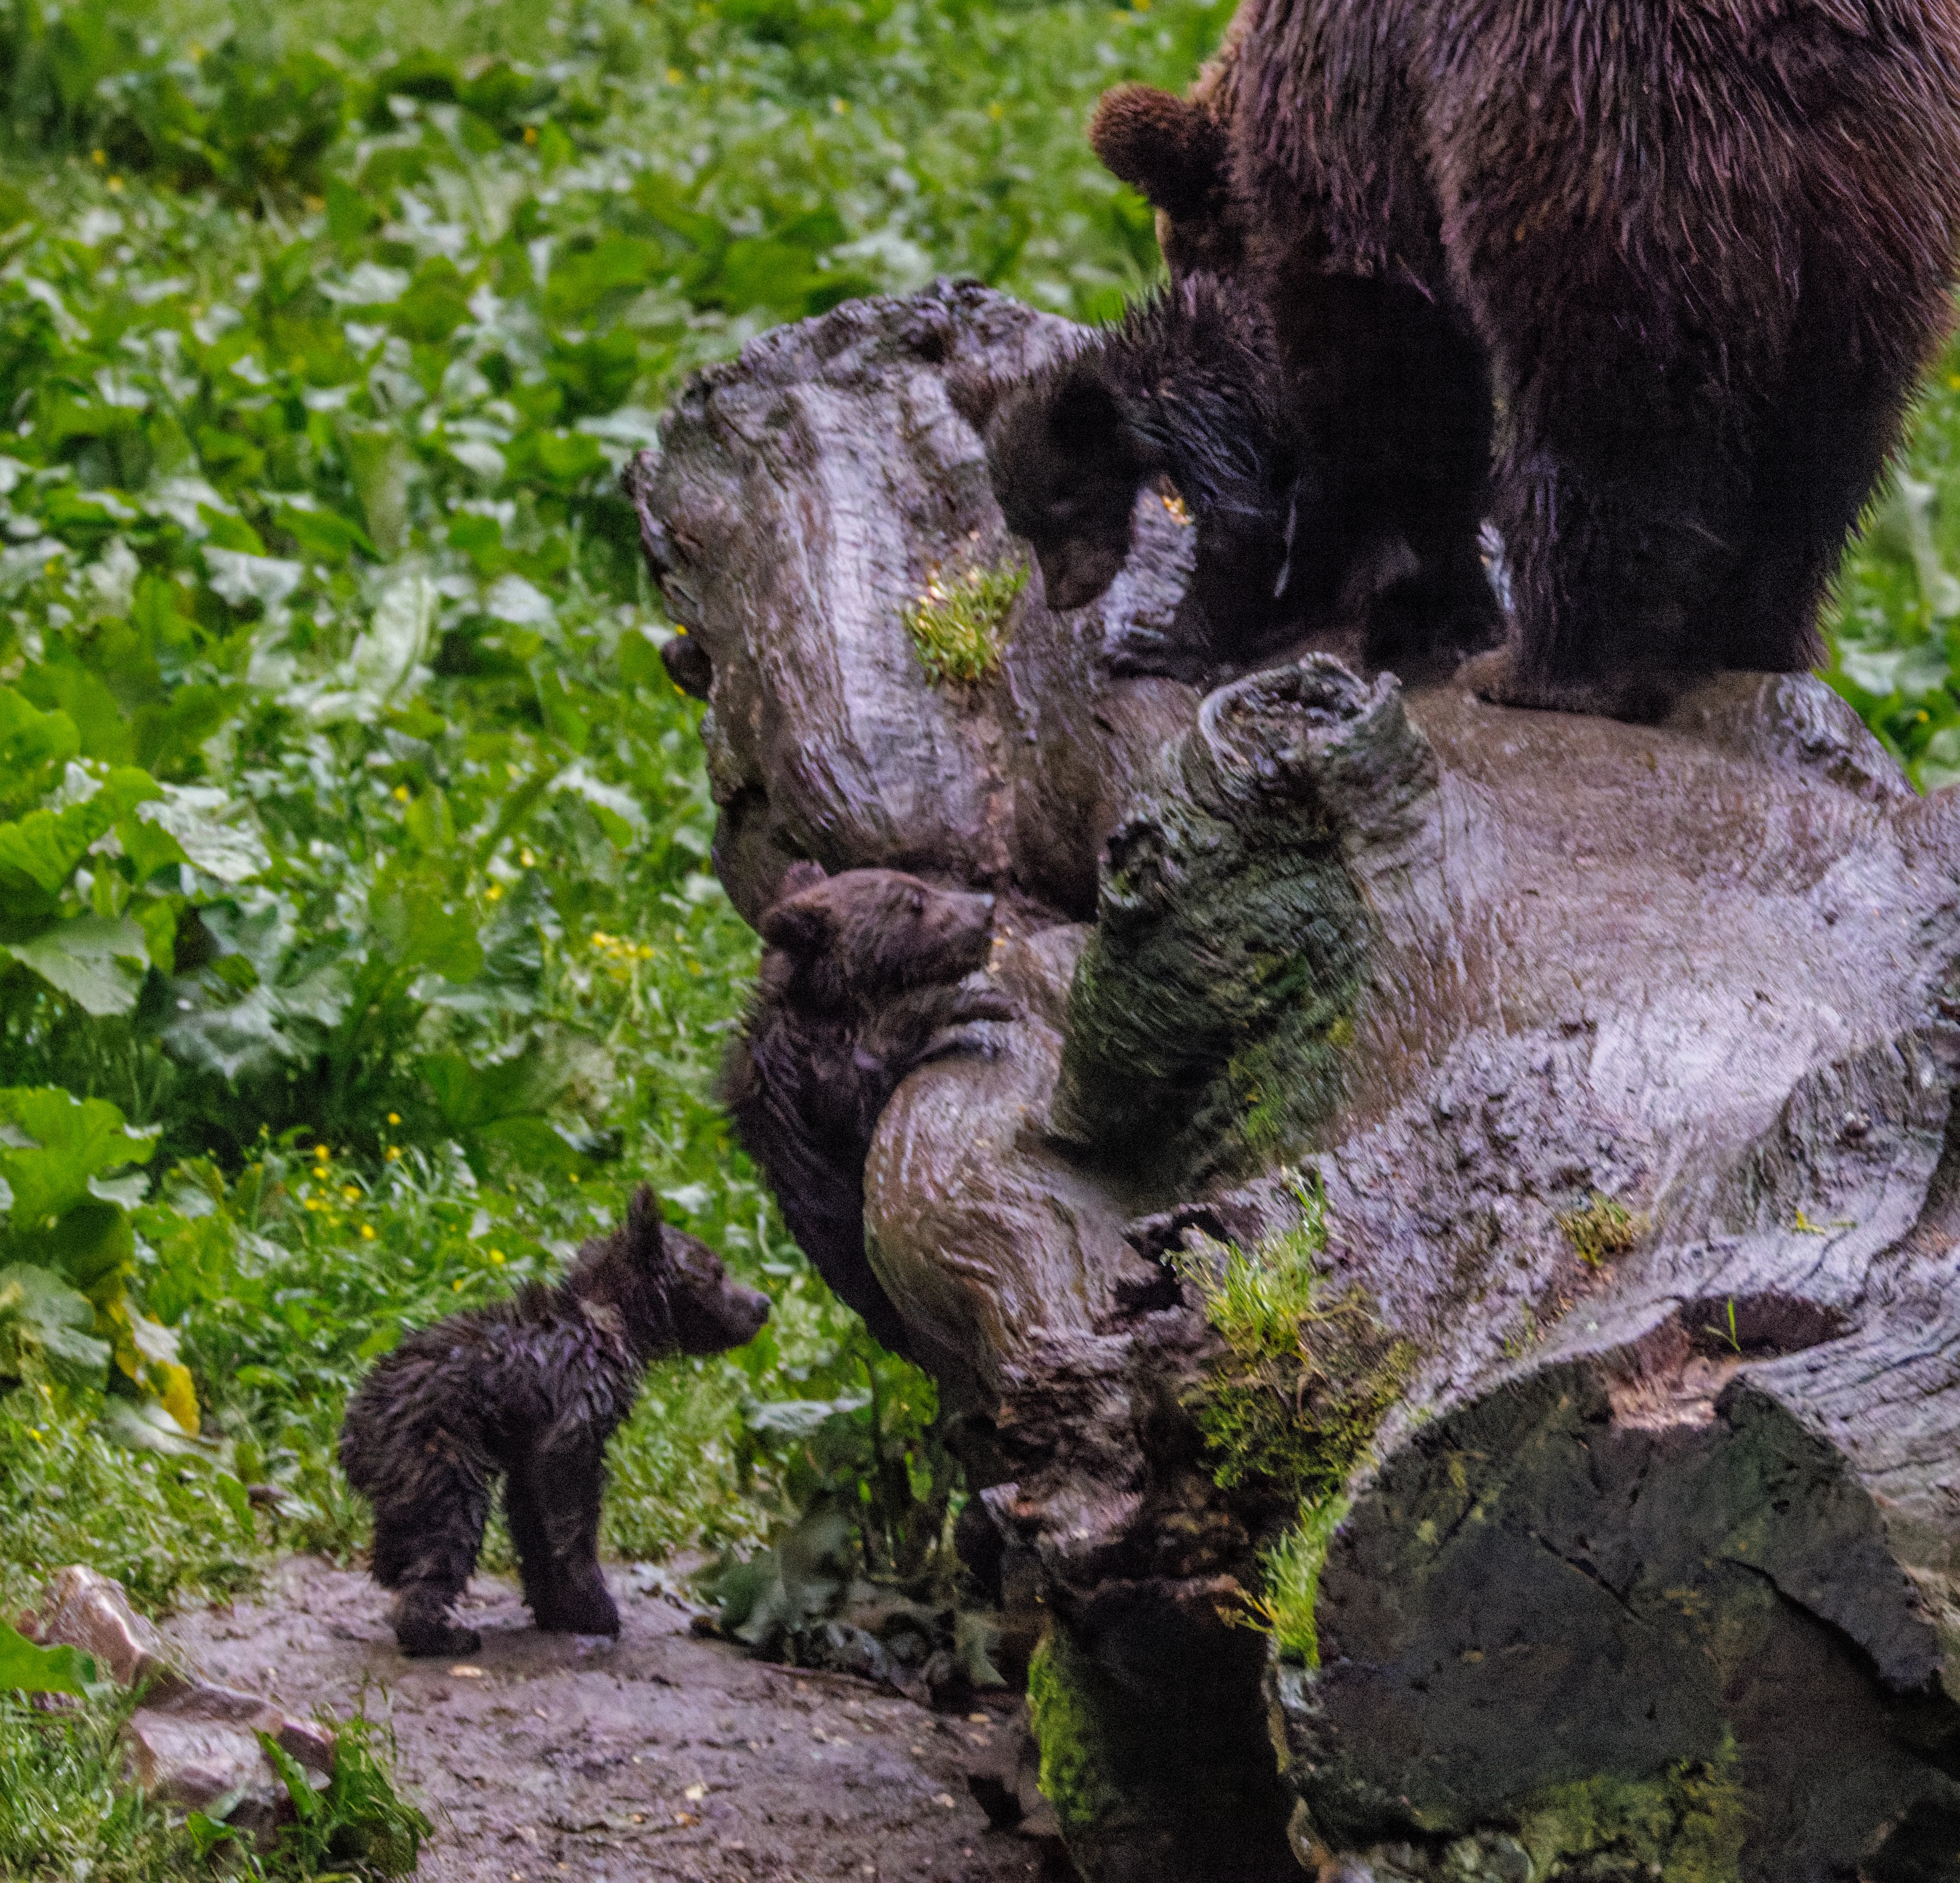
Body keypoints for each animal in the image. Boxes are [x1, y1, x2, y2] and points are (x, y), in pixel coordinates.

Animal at [339, 1186, 769, 1658]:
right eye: (716, 1273)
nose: (763, 1304)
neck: (616, 1323)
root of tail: (354, 1433)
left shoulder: (528, 1443)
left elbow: (531, 1513)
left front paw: (556, 1608)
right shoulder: (575, 1405)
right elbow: (568, 1508)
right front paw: (595, 1609)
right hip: (438, 1451)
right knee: (446, 1536)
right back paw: (443, 1634)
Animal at [984, 267, 1498, 687]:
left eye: (1061, 507)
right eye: (1022, 526)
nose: (1060, 598)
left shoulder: (1211, 418)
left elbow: (1240, 529)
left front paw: (1158, 651)